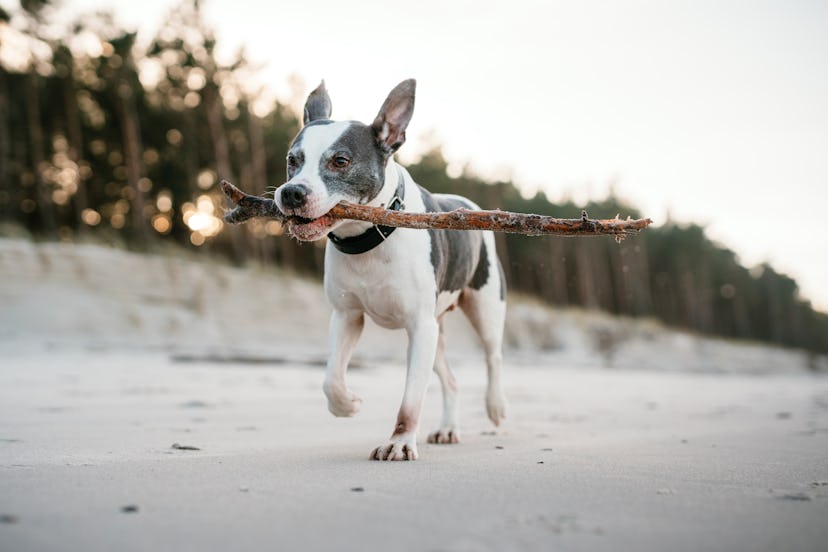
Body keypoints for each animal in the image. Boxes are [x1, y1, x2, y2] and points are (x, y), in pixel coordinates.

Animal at [272, 78, 504, 462]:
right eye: (293, 160)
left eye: (340, 161)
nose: (291, 193)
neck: (368, 236)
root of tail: (467, 204)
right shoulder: (347, 315)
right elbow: (331, 378)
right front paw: (347, 405)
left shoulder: (420, 326)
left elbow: (411, 399)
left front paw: (399, 442)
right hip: (436, 332)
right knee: (451, 380)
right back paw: (448, 428)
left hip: (484, 308)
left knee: (492, 356)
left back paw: (496, 408)